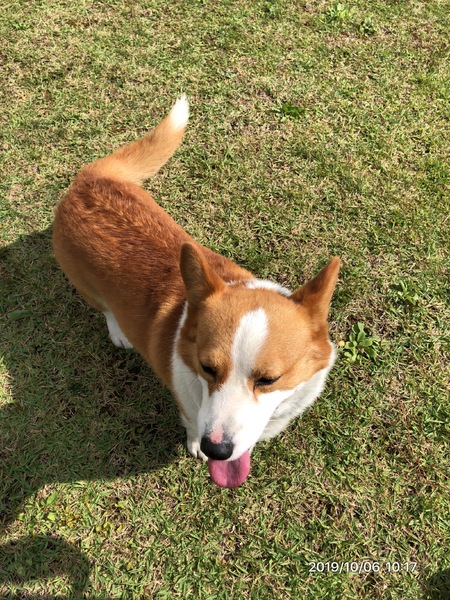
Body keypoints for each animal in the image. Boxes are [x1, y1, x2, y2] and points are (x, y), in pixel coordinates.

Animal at [53, 96, 340, 488]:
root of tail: (89, 179)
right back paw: (118, 332)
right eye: (207, 367)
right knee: (105, 308)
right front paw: (194, 447)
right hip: (83, 282)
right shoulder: (190, 410)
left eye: (268, 380)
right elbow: (190, 423)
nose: (215, 450)